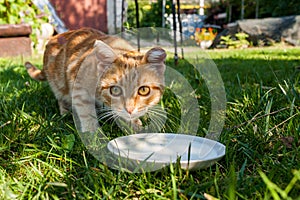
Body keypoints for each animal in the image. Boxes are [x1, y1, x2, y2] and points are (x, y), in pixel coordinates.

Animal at [24, 27, 166, 133]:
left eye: (144, 90)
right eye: (115, 90)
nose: (129, 109)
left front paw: (135, 125)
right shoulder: (79, 88)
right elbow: (86, 114)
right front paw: (93, 137)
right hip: (59, 82)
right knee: (61, 97)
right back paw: (65, 112)